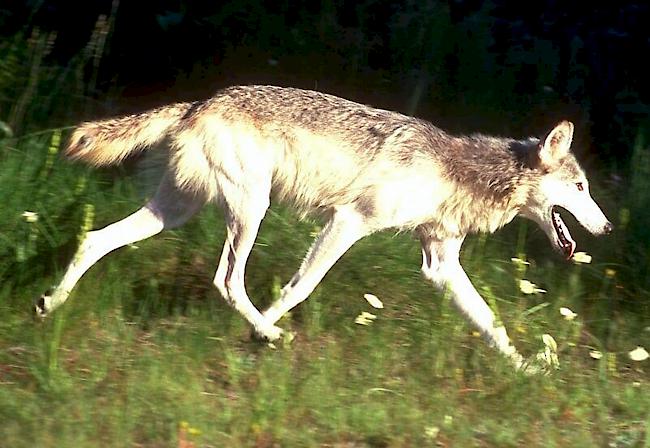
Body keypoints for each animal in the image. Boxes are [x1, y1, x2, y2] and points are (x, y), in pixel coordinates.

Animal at [35, 86, 612, 370]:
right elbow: (298, 288)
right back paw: (268, 332)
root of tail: (199, 102)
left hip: (175, 212)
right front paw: (257, 336)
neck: (458, 174)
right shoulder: (348, 223)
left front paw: (526, 368)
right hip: (249, 211)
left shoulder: (440, 263)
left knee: (94, 240)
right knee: (227, 280)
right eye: (582, 187)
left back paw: (48, 304)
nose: (606, 229)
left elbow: (491, 323)